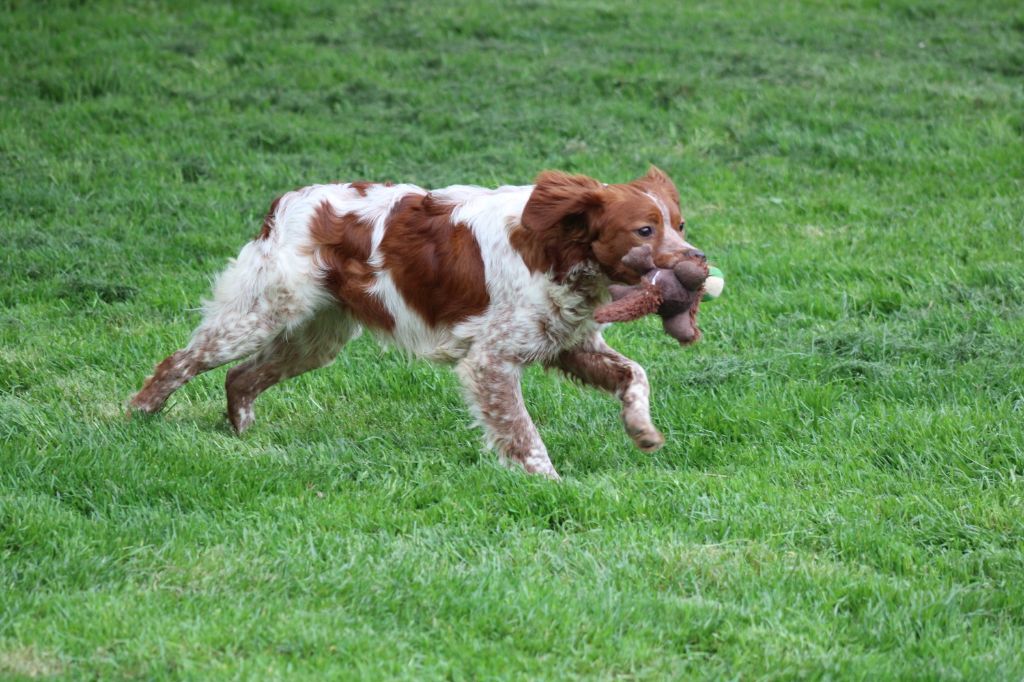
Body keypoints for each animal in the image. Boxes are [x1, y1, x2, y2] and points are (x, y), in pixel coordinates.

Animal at [125, 166, 704, 475]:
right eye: (645, 230)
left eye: (678, 225)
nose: (697, 261)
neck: (558, 249)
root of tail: (286, 201)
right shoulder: (490, 361)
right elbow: (524, 435)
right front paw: (550, 482)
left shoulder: (569, 342)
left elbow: (636, 375)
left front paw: (642, 431)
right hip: (258, 315)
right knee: (180, 361)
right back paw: (136, 417)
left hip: (315, 339)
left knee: (240, 378)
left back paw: (245, 437)